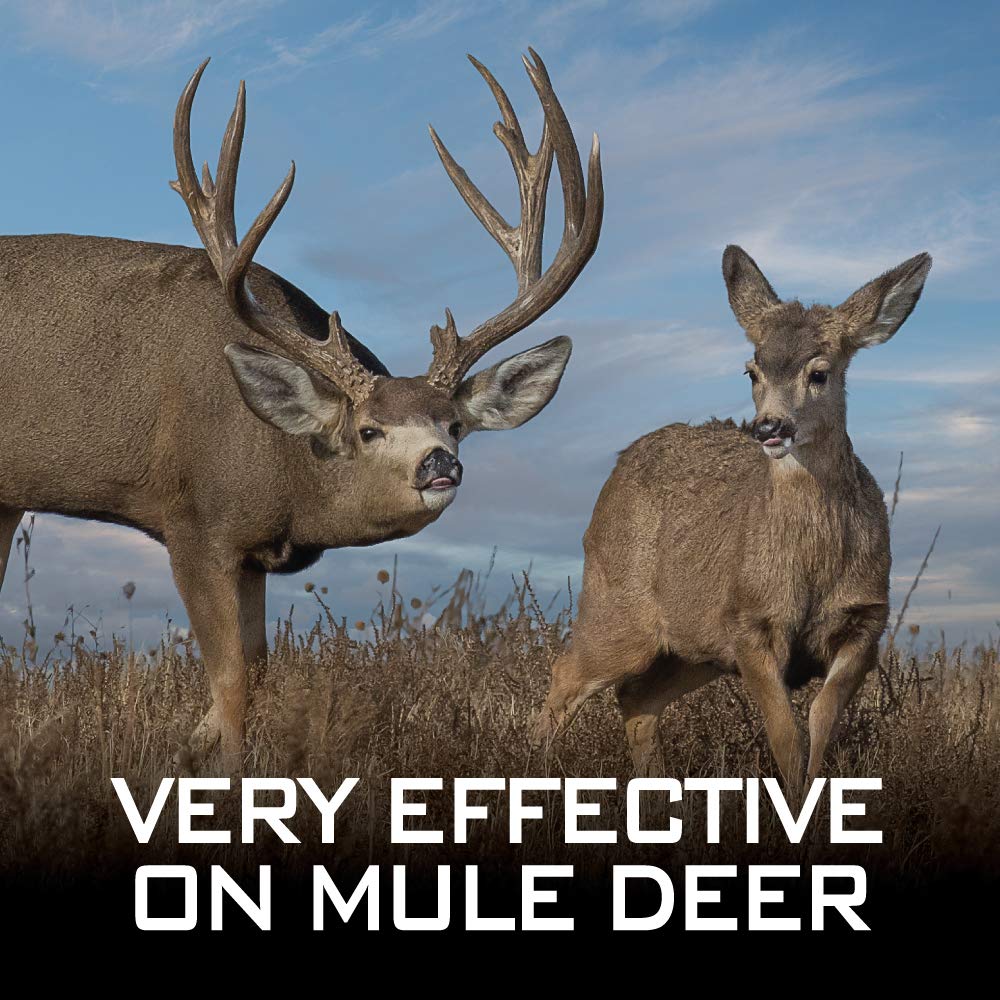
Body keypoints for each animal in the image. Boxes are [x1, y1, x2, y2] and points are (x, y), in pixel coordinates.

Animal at [0, 50, 603, 768]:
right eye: (369, 430)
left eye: (455, 424)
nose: (439, 464)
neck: (283, 464)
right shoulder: (194, 521)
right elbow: (232, 680)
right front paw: (226, 773)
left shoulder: (255, 551)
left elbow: (257, 669)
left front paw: (193, 748)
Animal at [531, 245, 931, 793]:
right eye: (752, 371)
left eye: (819, 372)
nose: (769, 427)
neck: (812, 565)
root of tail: (619, 464)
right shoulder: (748, 619)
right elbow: (785, 735)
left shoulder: (866, 620)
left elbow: (821, 722)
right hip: (617, 610)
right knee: (565, 675)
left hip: (692, 647)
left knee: (635, 698)